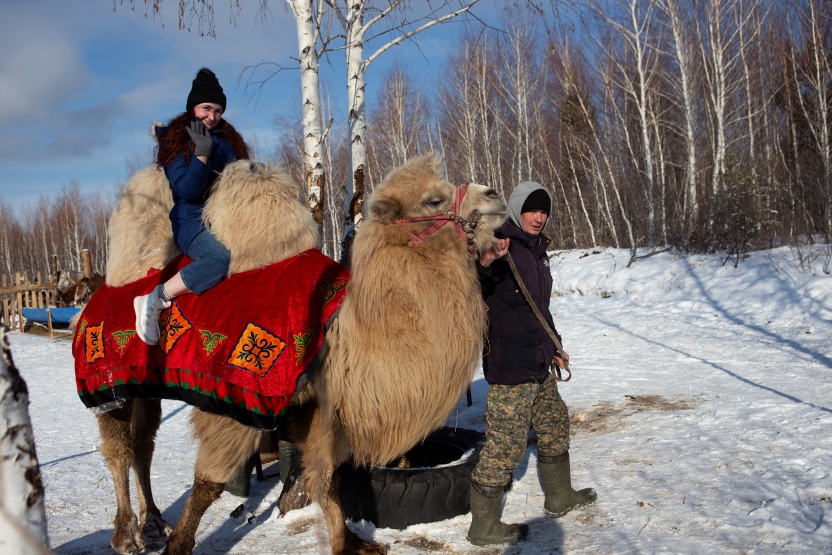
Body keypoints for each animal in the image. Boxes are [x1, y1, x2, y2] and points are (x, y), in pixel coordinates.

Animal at [76, 153, 508, 555]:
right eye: (434, 199)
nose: (495, 196)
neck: (340, 330)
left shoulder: (317, 404)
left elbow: (327, 478)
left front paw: (350, 542)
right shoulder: (236, 398)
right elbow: (209, 482)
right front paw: (179, 547)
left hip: (143, 387)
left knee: (143, 447)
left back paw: (152, 524)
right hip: (106, 385)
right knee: (119, 449)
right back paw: (126, 536)